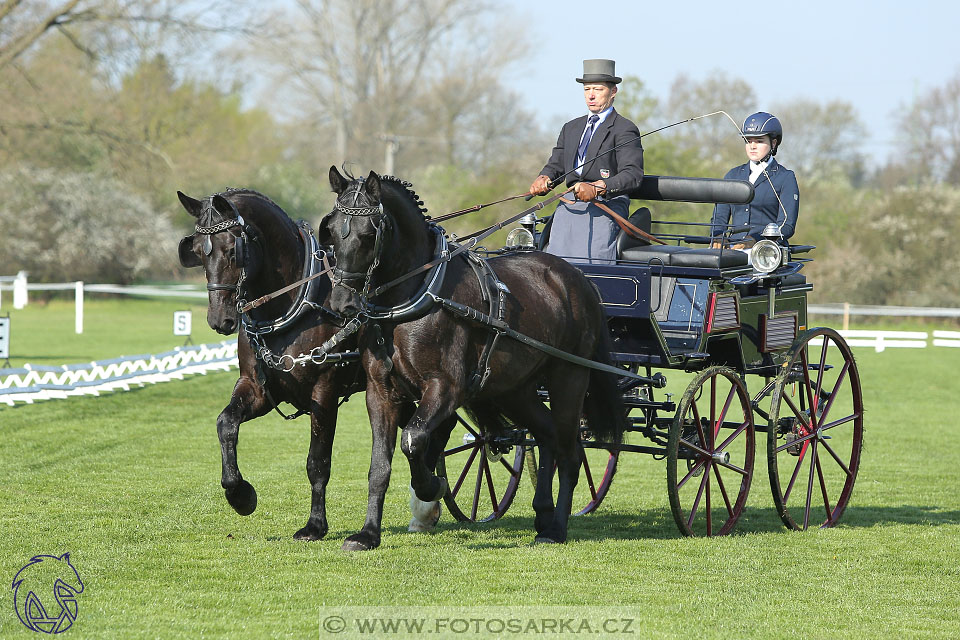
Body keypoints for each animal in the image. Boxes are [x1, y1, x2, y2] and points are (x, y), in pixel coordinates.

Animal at [179, 188, 454, 548]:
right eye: (198, 251)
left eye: (231, 249)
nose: (219, 319)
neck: (292, 300)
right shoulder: (257, 388)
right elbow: (226, 423)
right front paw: (241, 495)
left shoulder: (324, 391)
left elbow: (317, 462)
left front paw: (314, 525)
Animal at [318, 166, 628, 544]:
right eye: (332, 231)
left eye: (367, 234)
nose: (341, 303)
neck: (416, 295)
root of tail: (578, 279)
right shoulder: (381, 392)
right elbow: (380, 465)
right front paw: (367, 535)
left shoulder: (446, 388)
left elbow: (413, 439)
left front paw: (430, 489)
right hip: (515, 391)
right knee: (547, 435)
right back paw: (542, 514)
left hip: (568, 378)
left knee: (570, 452)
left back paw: (555, 528)